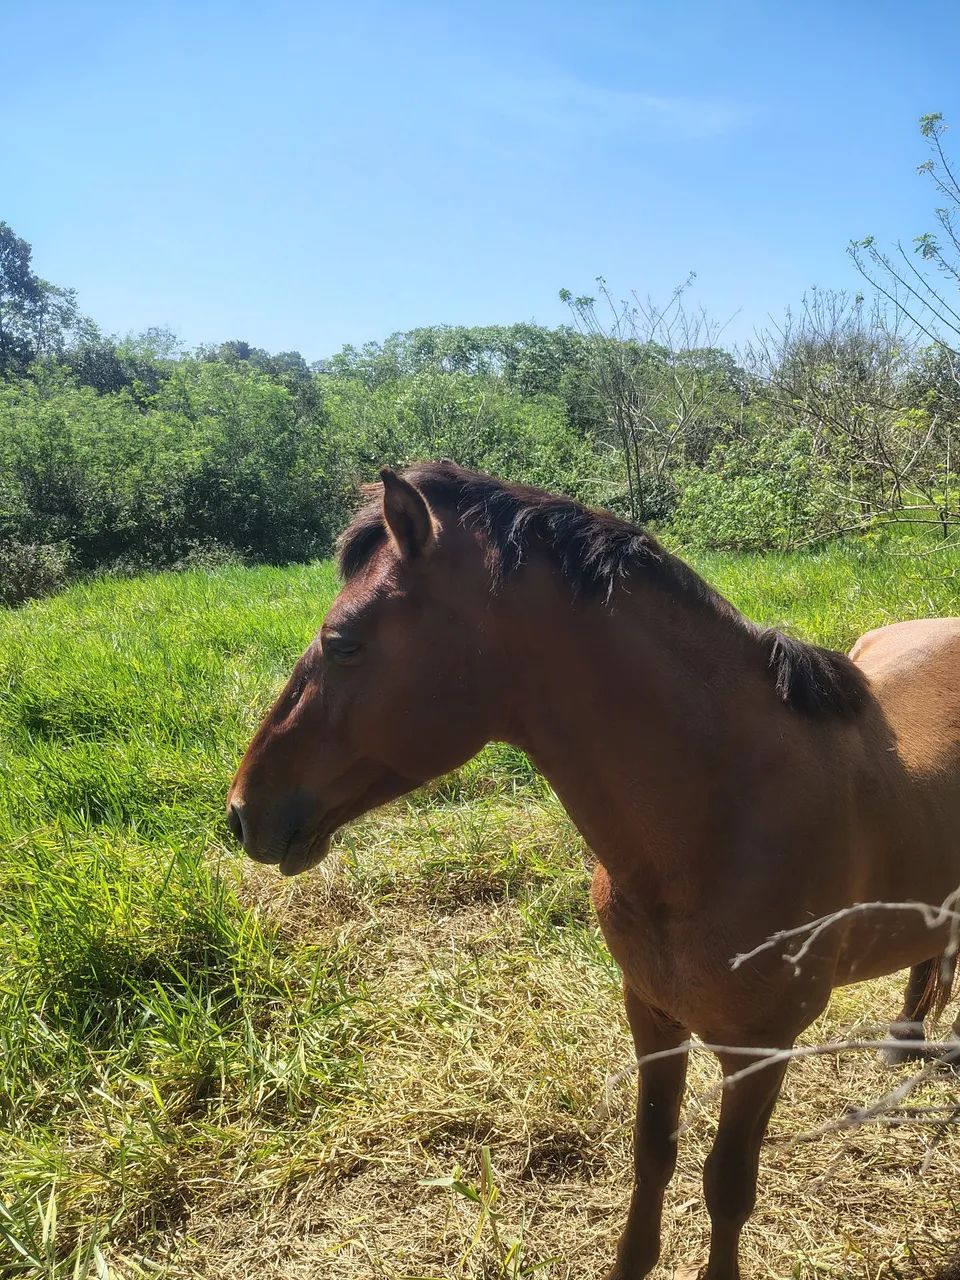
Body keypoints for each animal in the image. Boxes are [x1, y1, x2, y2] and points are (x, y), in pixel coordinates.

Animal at [227, 462, 960, 1280]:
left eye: (344, 642)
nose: (242, 812)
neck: (719, 817)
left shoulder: (761, 1046)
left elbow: (727, 1186)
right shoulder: (652, 1013)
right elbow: (653, 1154)